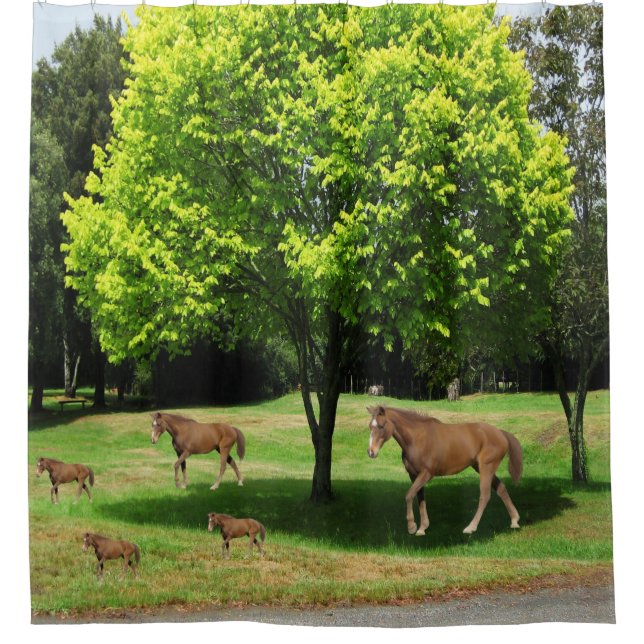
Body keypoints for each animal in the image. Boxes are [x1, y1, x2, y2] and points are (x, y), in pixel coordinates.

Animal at [366, 405, 522, 535]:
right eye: (370, 426)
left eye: (381, 426)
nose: (371, 452)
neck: (416, 439)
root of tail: (501, 433)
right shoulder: (414, 475)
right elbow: (420, 498)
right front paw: (422, 528)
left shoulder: (426, 474)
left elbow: (409, 495)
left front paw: (412, 526)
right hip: (481, 467)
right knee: (501, 489)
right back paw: (514, 520)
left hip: (486, 468)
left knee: (485, 495)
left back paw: (470, 527)